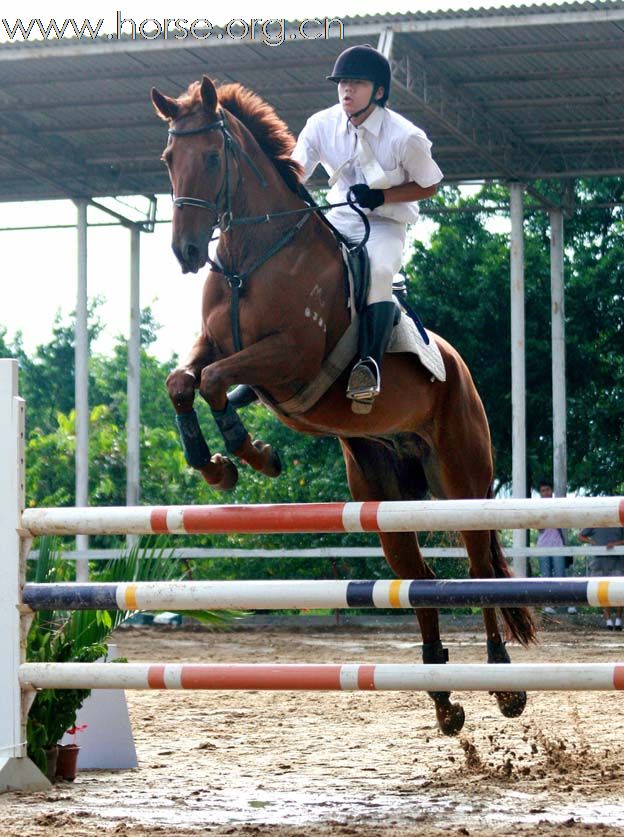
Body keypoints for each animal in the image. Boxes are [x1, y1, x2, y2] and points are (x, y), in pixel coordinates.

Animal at [151, 75, 536, 736]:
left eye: (212, 157)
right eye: (169, 159)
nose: (185, 252)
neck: (253, 259)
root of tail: (459, 369)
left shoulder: (289, 358)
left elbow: (215, 383)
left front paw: (251, 453)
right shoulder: (213, 346)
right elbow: (184, 381)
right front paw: (217, 465)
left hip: (460, 474)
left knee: (479, 567)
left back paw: (503, 684)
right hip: (382, 495)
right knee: (420, 580)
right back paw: (444, 699)